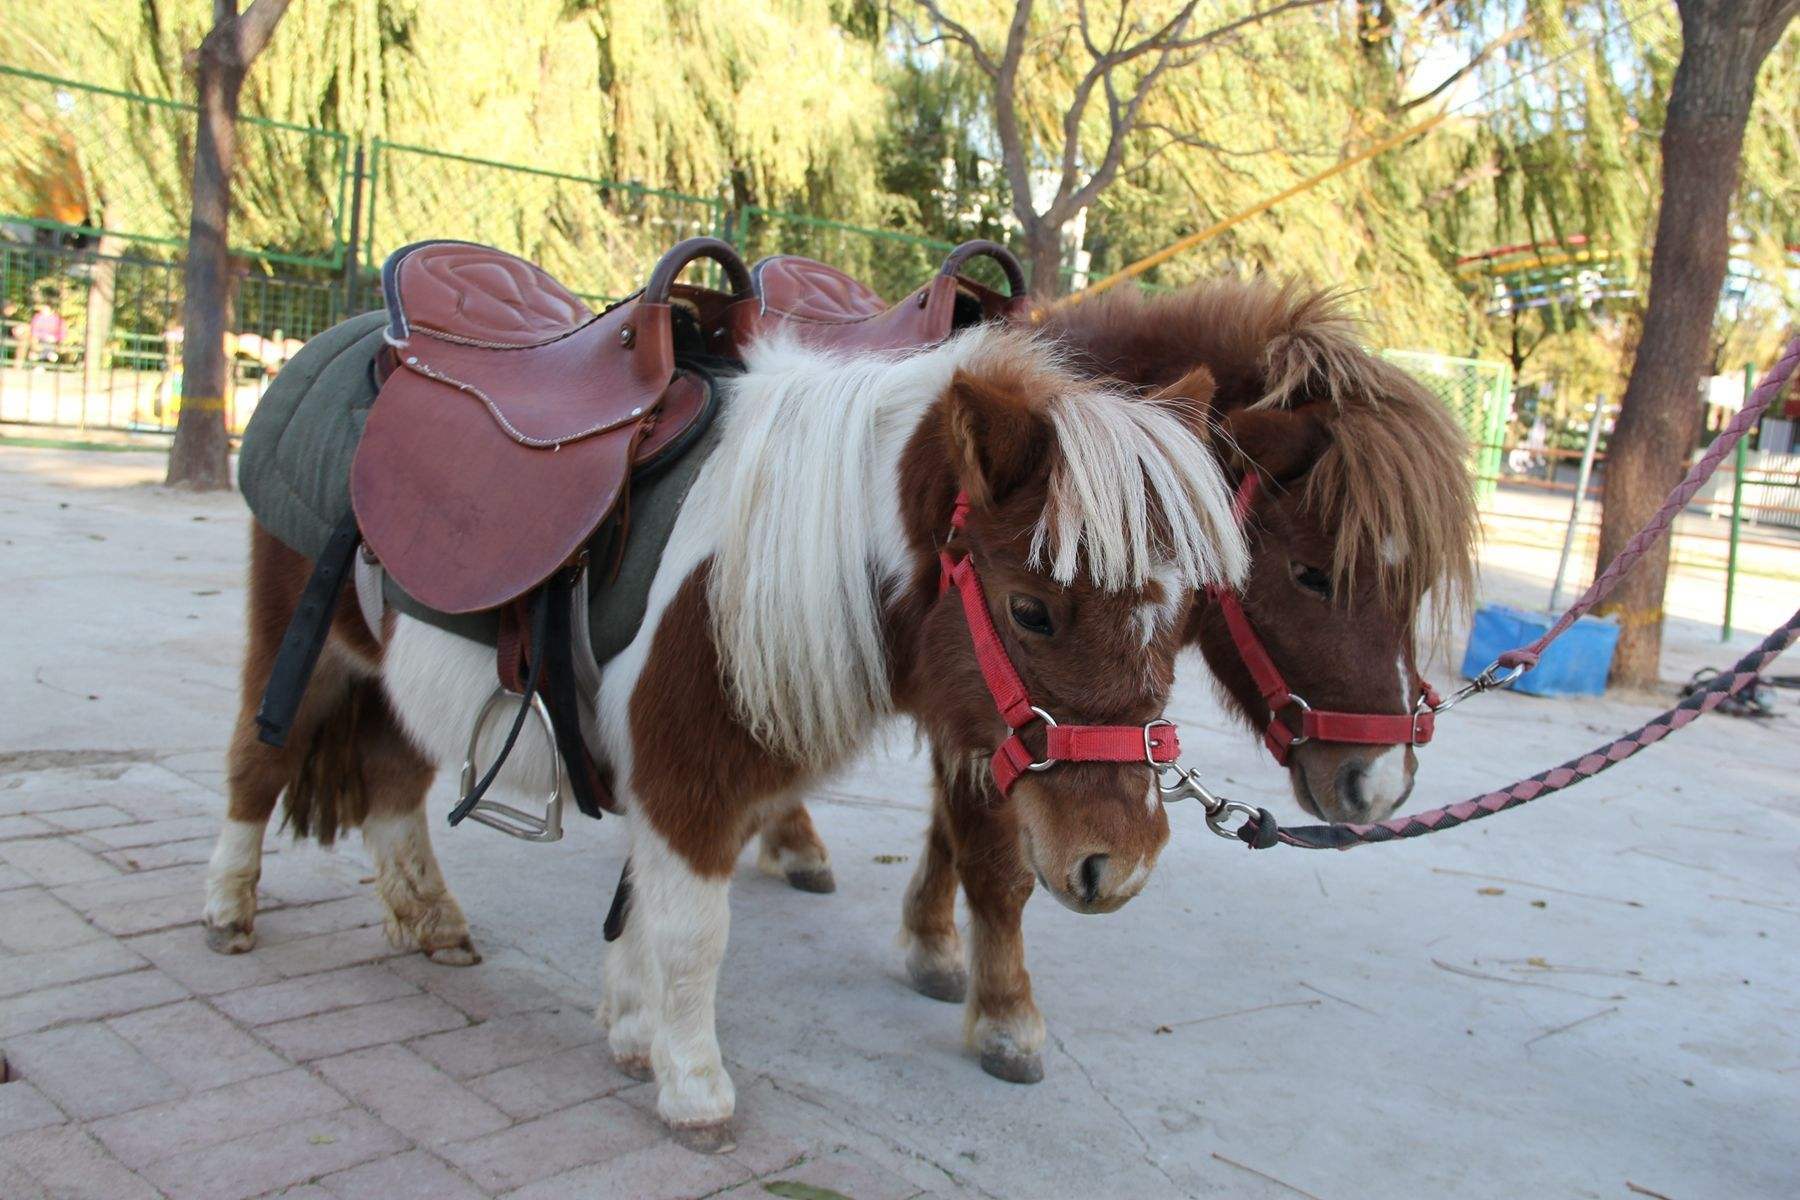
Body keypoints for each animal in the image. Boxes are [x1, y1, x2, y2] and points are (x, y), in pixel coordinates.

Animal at [193, 325, 1238, 1144]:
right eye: (1030, 609)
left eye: (1187, 617)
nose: (1118, 865)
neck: (759, 564)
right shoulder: (687, 781)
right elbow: (694, 932)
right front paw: (694, 1089)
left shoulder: (690, 785)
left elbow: (643, 910)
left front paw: (632, 1032)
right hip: (302, 640)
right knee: (257, 758)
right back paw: (229, 913)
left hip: (395, 675)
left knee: (391, 784)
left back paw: (431, 921)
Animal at [759, 282, 1476, 1086]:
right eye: (1312, 574)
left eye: (1417, 586)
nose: (1382, 785)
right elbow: (993, 861)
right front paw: (1006, 1016)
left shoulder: (977, 718)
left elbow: (954, 832)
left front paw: (934, 942)